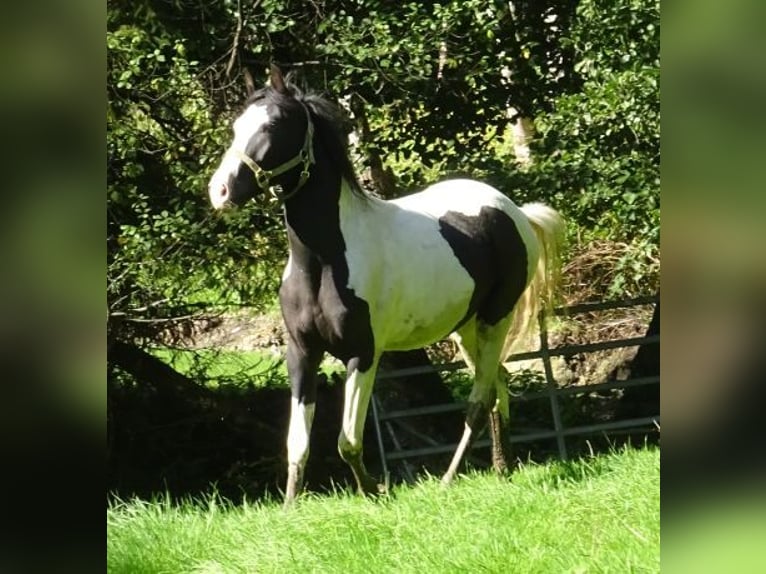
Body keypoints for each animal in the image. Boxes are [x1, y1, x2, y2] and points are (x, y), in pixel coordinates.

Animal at [208, 66, 564, 506]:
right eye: (236, 126)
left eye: (273, 124)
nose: (220, 191)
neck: (324, 263)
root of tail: (513, 211)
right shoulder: (302, 353)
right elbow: (298, 443)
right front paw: (291, 508)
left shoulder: (363, 355)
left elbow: (348, 441)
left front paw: (374, 493)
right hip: (466, 329)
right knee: (498, 381)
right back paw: (503, 470)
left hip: (495, 319)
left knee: (480, 399)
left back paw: (449, 480)